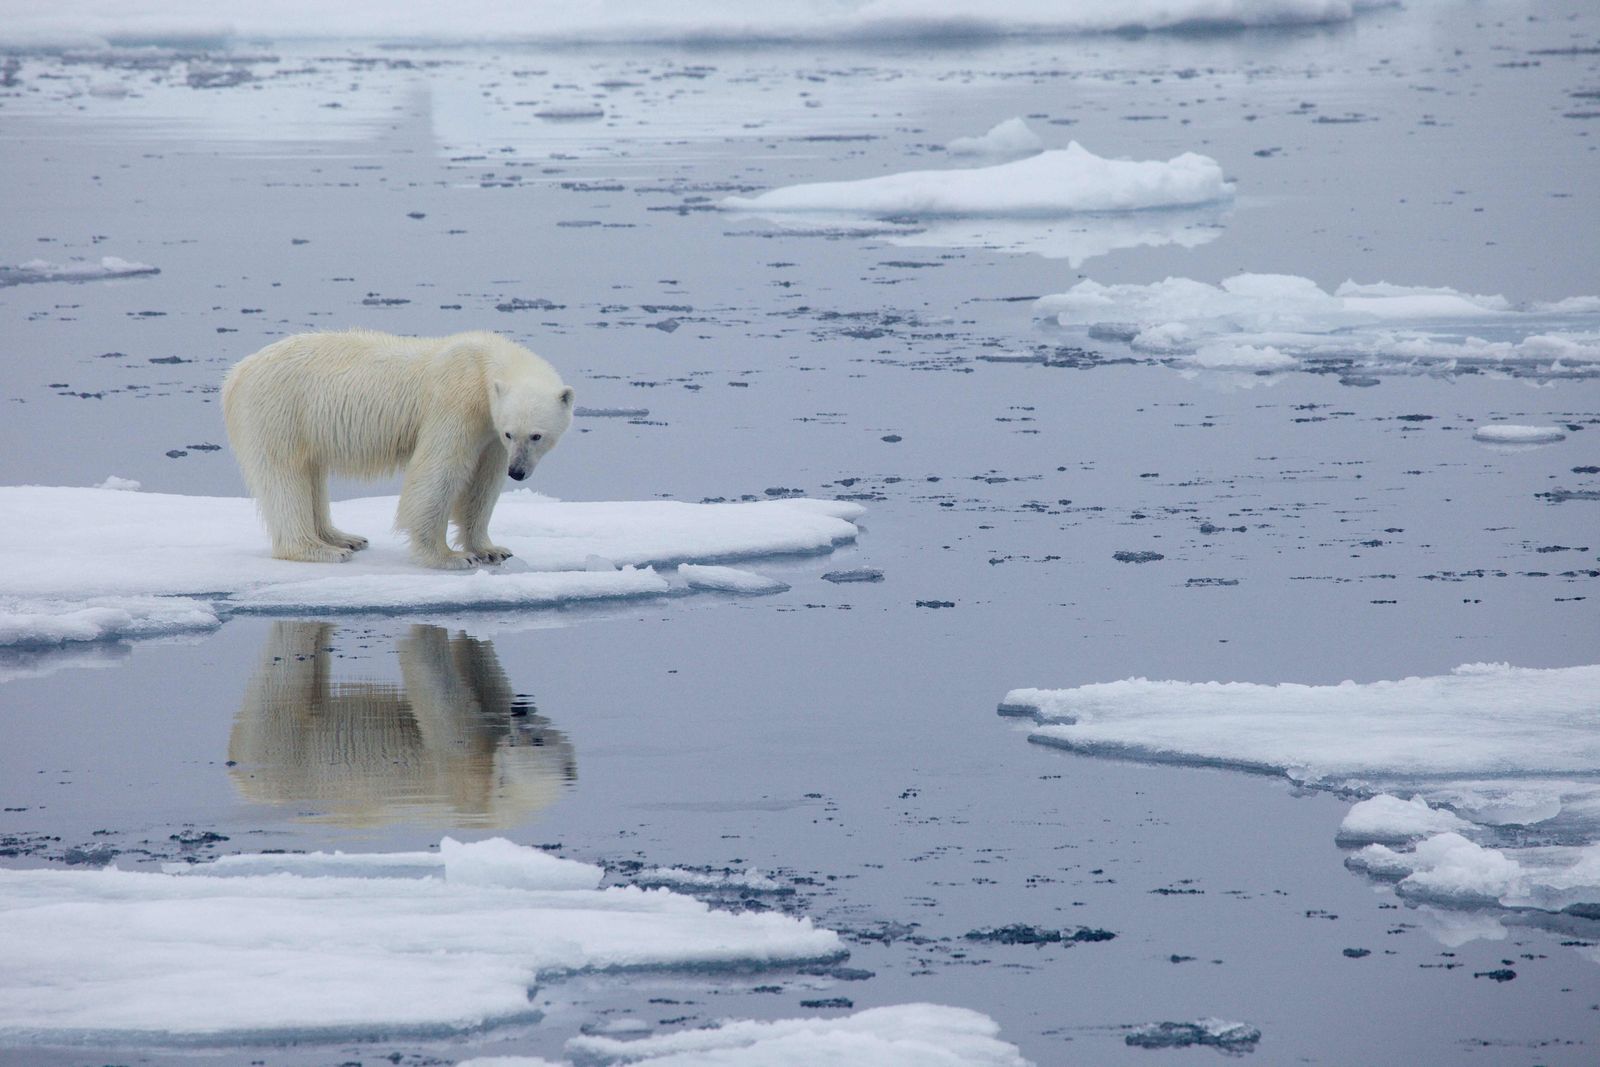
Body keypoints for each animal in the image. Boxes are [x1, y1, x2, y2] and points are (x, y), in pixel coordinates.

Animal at [222, 331, 572, 566]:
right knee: (284, 475)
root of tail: (237, 372)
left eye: (536, 436)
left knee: (311, 474)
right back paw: (319, 549)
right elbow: (438, 471)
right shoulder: (457, 403)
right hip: (280, 410)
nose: (518, 472)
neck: (481, 365)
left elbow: (483, 484)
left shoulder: (489, 431)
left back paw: (344, 538)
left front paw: (491, 549)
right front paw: (451, 556)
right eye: (514, 434)